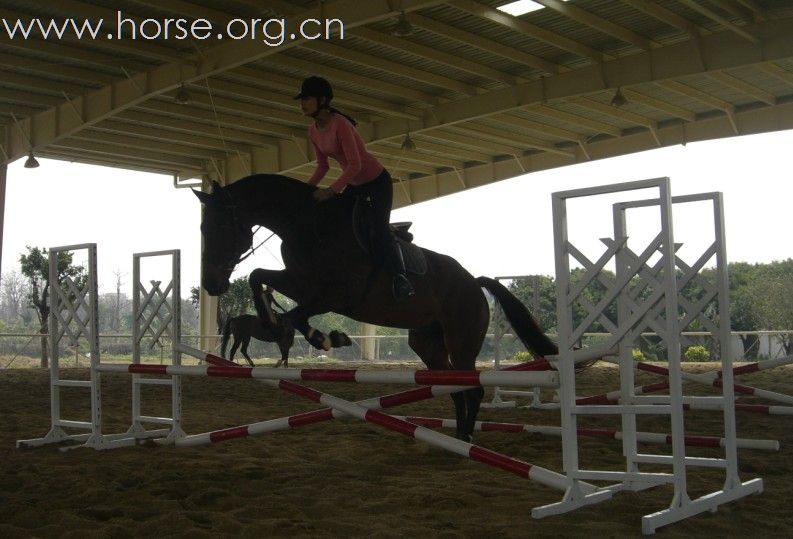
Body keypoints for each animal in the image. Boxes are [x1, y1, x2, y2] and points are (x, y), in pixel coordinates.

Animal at [196, 175, 556, 440]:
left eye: (218, 227)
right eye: (202, 229)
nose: (212, 285)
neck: (308, 225)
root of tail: (474, 283)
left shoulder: (334, 294)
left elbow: (295, 315)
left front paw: (324, 338)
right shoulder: (299, 283)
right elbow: (259, 277)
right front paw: (277, 321)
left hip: (462, 341)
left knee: (473, 389)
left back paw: (467, 438)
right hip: (427, 343)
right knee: (454, 388)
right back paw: (458, 438)